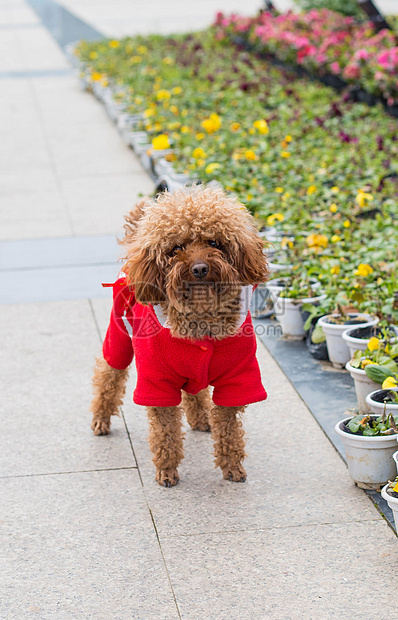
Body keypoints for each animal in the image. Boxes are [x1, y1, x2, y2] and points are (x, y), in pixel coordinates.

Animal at [91, 184, 268, 484]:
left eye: (214, 243)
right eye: (176, 248)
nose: (199, 269)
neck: (201, 318)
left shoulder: (238, 377)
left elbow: (229, 429)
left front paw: (232, 467)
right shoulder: (156, 381)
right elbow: (165, 432)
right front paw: (167, 470)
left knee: (193, 391)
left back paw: (201, 419)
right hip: (120, 338)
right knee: (109, 373)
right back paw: (101, 419)